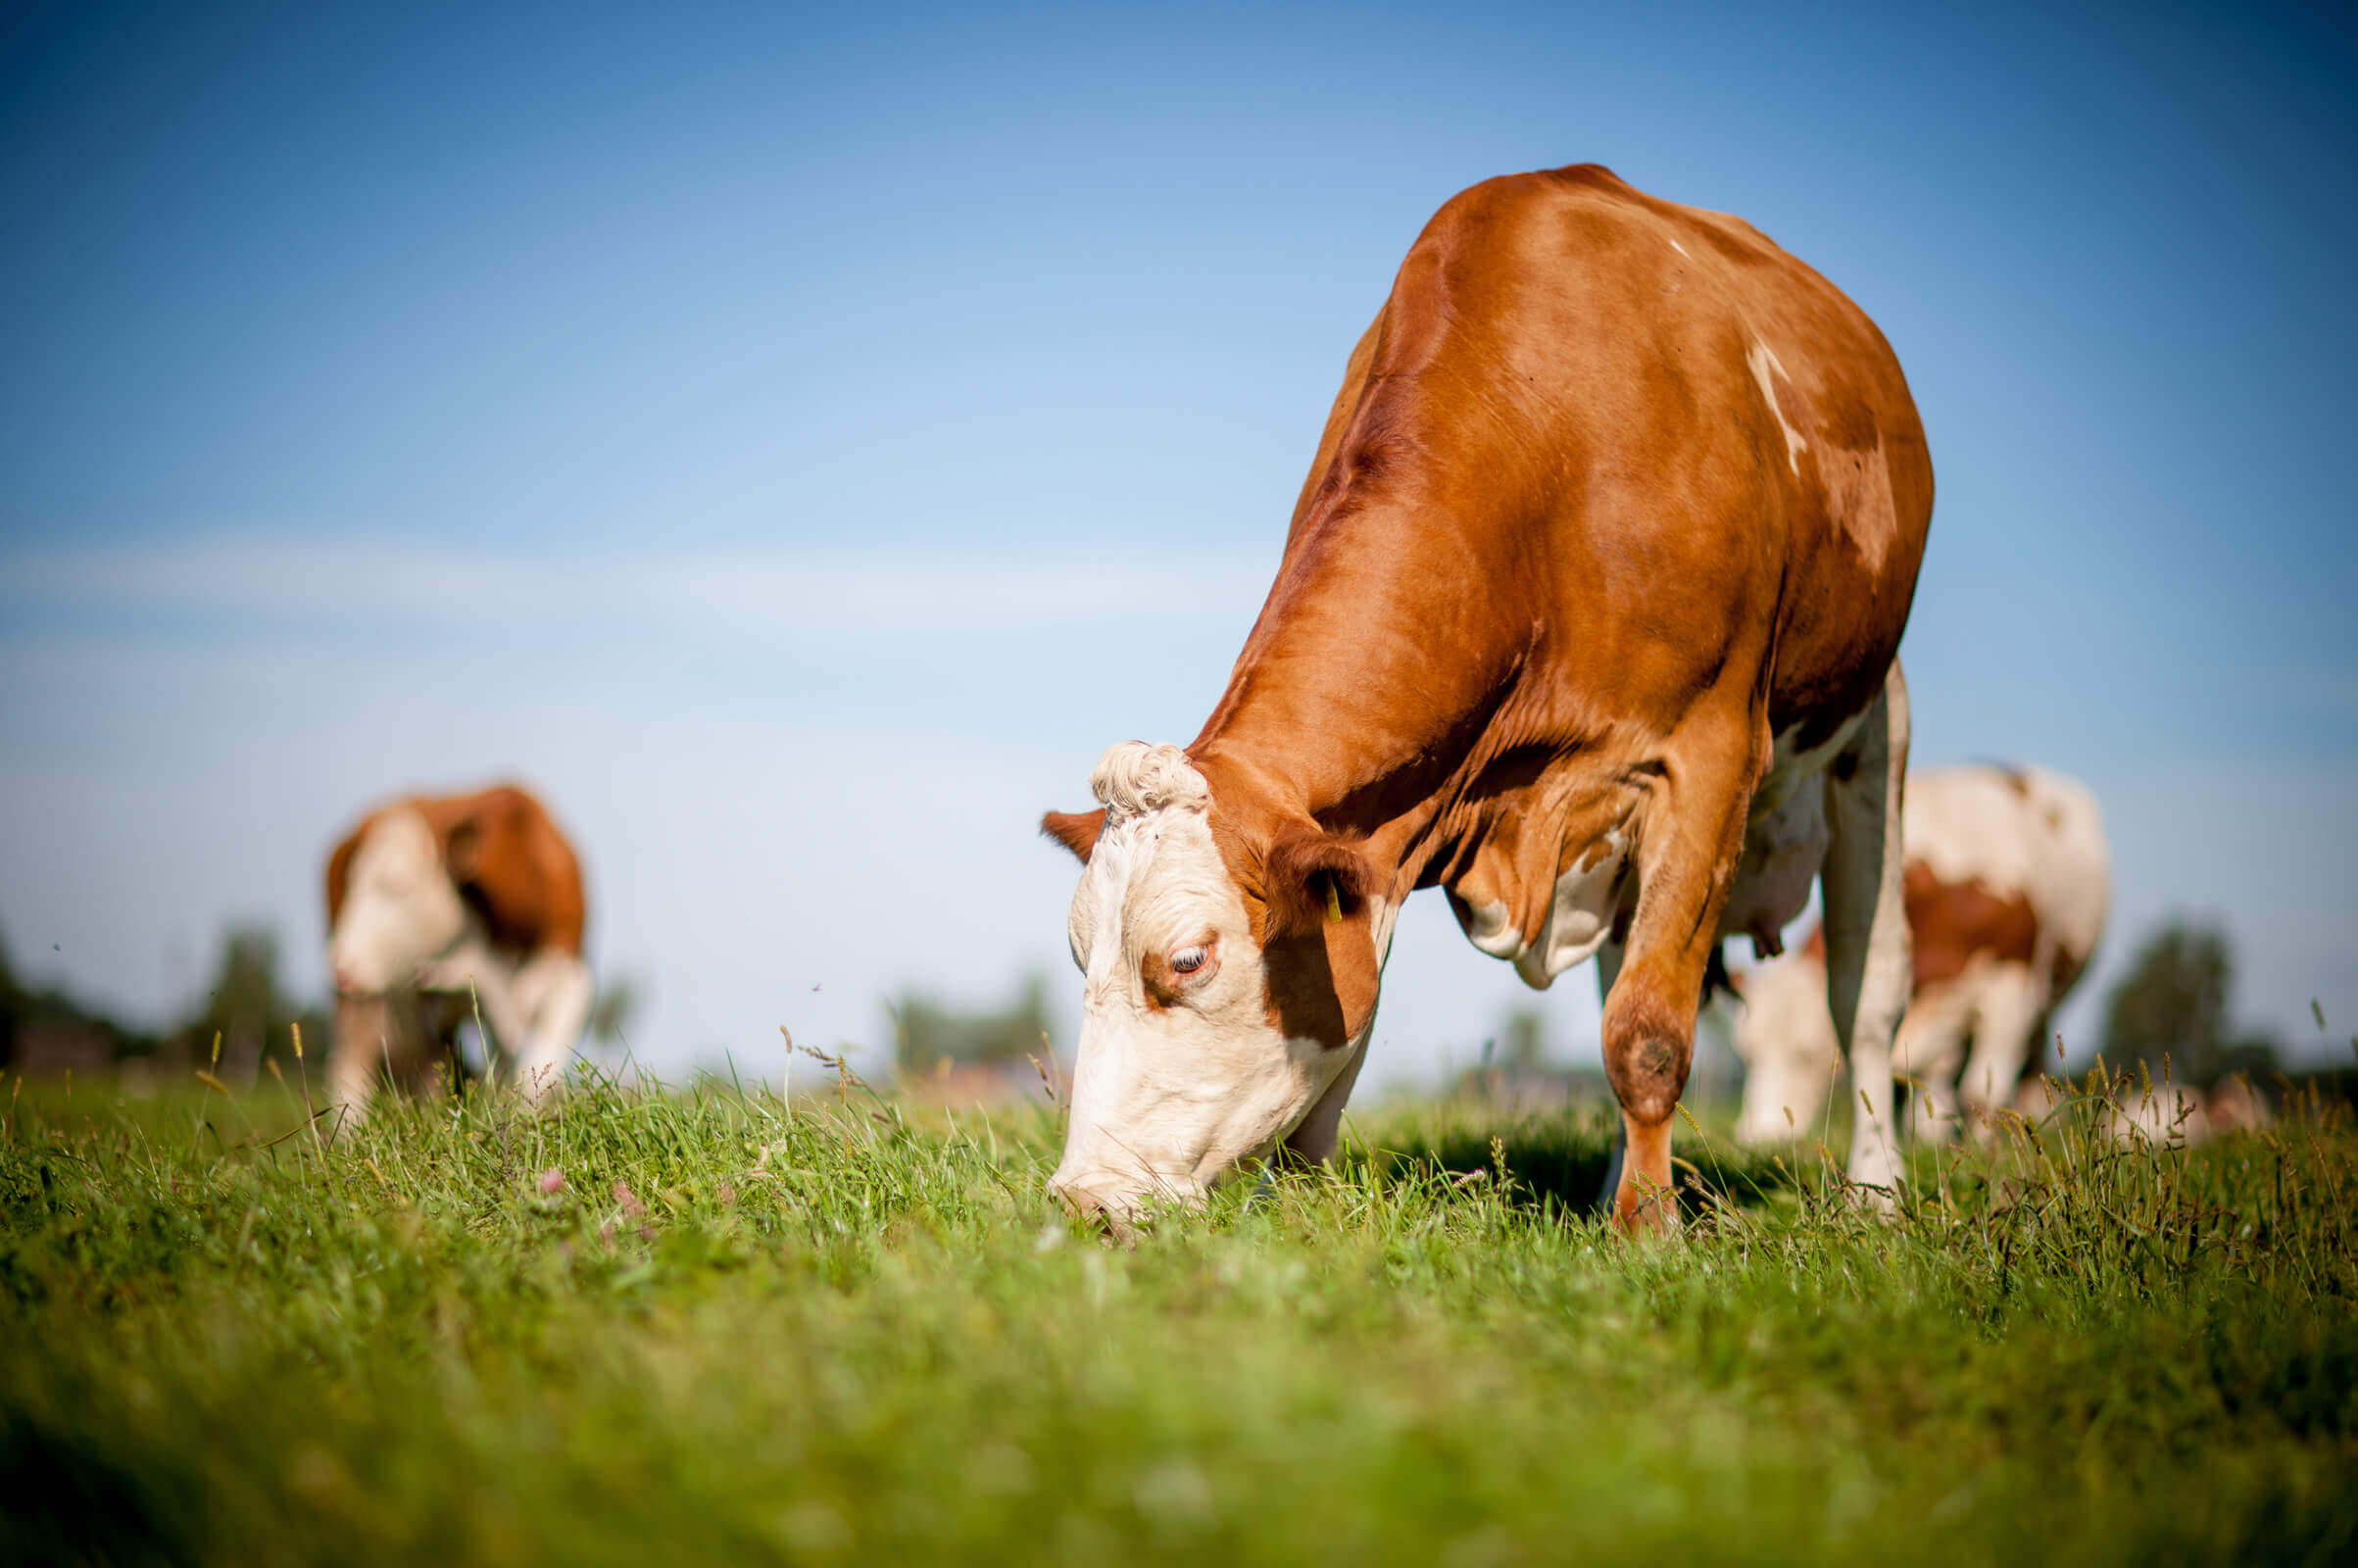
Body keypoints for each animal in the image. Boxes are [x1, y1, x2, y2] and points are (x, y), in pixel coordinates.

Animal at [322, 782, 594, 1112]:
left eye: (397, 887)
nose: (339, 966)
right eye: (351, 884)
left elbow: (536, 1069)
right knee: (351, 1063)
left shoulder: (573, 979)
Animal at [1042, 161, 1924, 1235]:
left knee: (1866, 990)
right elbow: (1355, 1033)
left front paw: (1650, 1234)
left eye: (1189, 961)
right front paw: (1298, 1212)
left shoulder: (1707, 756)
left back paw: (1876, 1195)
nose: (1083, 1197)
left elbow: (1650, 1032)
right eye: (1082, 959)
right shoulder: (1391, 829)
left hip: (1871, 726)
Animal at [1735, 763, 2122, 1146]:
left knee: (2030, 1065)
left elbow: (1982, 1090)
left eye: (1805, 1053)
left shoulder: (2012, 986)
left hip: (2045, 996)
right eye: (1748, 1053)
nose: (1760, 1136)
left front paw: (1988, 1150)